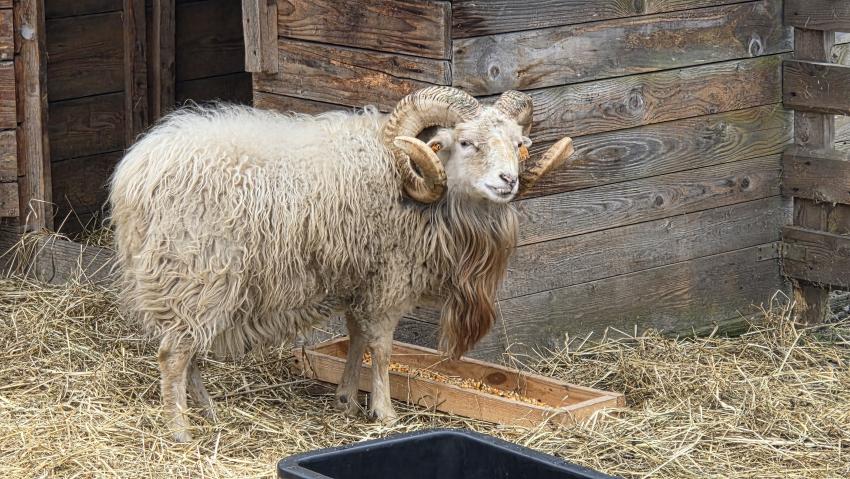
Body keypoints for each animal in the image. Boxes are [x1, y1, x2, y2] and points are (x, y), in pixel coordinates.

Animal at [107, 86, 575, 442]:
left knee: (188, 352)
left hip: (189, 284)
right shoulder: (389, 280)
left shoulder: (361, 277)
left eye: (518, 145)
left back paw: (208, 412)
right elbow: (381, 348)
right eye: (466, 142)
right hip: (197, 273)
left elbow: (356, 338)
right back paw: (180, 429)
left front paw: (347, 399)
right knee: (174, 354)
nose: (508, 181)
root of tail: (135, 174)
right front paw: (384, 412)